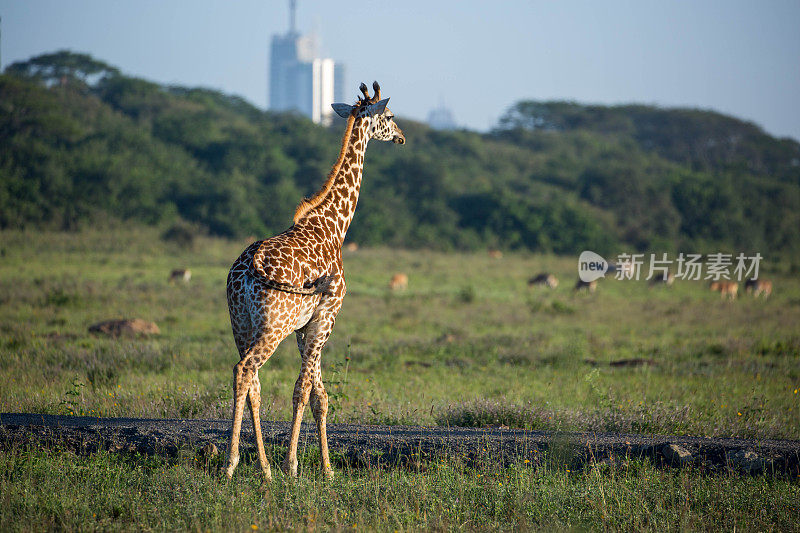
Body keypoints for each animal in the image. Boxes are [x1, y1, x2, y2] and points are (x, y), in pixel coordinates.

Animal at [223, 82, 400, 478]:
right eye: (390, 115)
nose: (401, 137)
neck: (335, 227)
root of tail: (247, 269)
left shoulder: (306, 326)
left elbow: (320, 394)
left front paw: (328, 469)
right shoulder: (327, 314)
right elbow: (304, 389)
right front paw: (293, 465)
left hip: (241, 324)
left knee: (252, 382)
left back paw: (262, 468)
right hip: (272, 327)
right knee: (246, 371)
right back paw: (234, 465)